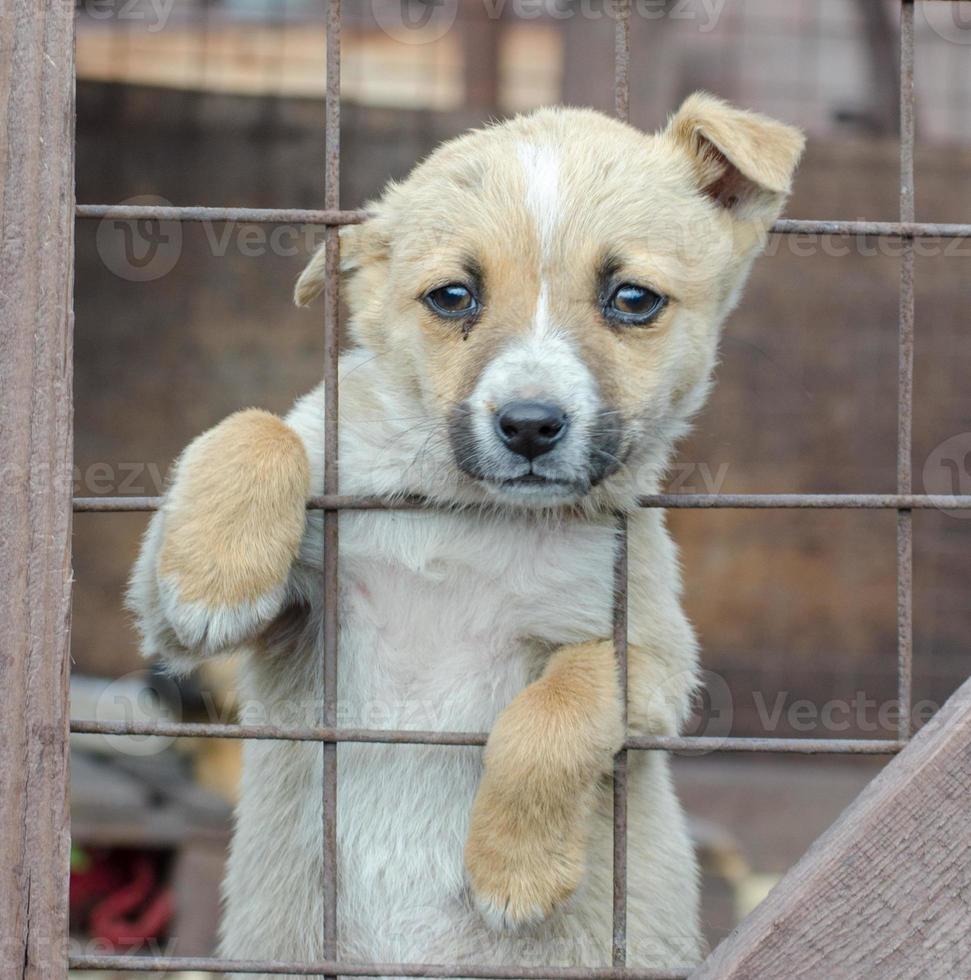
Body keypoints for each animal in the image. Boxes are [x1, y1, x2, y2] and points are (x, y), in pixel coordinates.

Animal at [125, 94, 800, 980]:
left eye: (633, 300)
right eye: (451, 296)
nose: (530, 425)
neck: (469, 516)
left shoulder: (654, 660)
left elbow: (558, 706)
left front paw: (514, 871)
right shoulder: (209, 615)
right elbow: (260, 427)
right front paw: (215, 580)